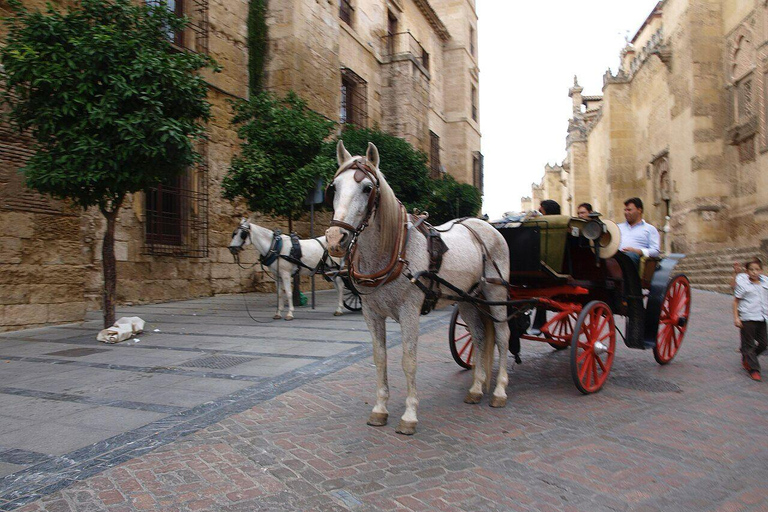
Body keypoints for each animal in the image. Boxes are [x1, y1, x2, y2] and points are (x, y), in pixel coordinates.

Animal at [325, 140, 511, 435]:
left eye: (367, 188)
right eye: (334, 188)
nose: (335, 239)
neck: (394, 251)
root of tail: (483, 226)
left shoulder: (409, 312)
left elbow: (408, 361)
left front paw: (410, 415)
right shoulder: (371, 314)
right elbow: (380, 358)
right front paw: (380, 409)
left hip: (496, 294)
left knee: (503, 337)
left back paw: (500, 390)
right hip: (468, 299)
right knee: (480, 337)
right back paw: (476, 388)